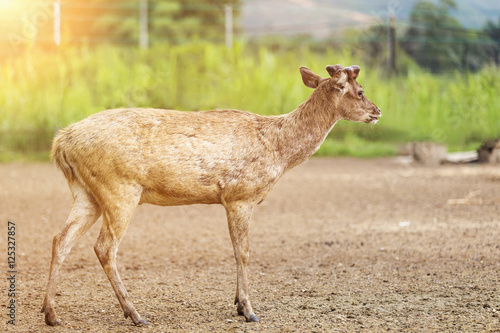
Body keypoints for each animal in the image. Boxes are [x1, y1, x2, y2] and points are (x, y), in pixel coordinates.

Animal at [41, 64, 380, 324]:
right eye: (360, 91)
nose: (377, 111)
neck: (280, 151)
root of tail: (61, 142)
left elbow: (236, 250)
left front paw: (238, 304)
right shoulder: (240, 195)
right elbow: (243, 252)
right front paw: (249, 310)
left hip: (86, 193)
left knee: (61, 238)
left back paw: (51, 314)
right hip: (119, 188)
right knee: (104, 247)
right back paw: (135, 314)